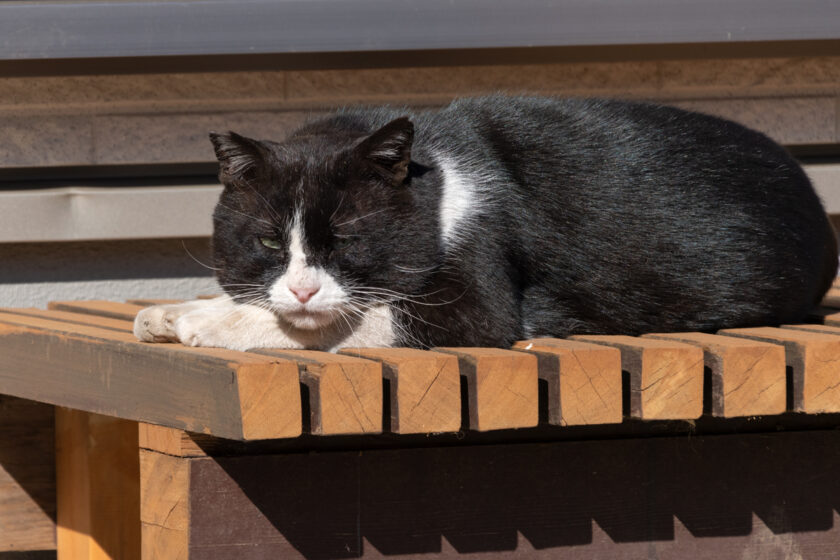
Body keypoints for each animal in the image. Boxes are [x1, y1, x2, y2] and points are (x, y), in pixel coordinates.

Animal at [133, 95, 840, 350]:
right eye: (268, 241)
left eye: (350, 241)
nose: (303, 288)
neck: (436, 179)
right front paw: (173, 310)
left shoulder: (477, 301)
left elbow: (360, 317)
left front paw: (206, 322)